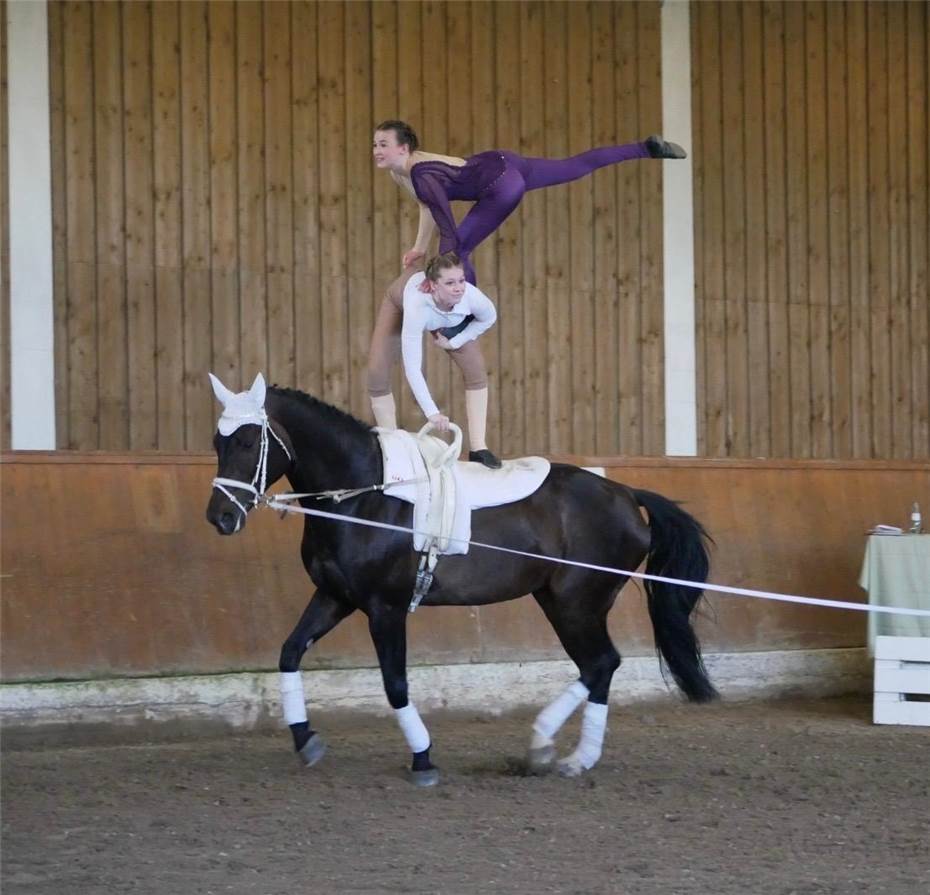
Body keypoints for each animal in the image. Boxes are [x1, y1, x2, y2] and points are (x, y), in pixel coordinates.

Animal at [203, 376, 716, 784]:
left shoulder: (385, 608)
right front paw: (305, 738)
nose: (220, 517)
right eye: (216, 443)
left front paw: (423, 759)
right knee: (599, 667)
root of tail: (626, 494)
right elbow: (290, 653)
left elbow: (395, 683)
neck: (364, 495)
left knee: (601, 663)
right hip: (558, 600)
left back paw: (559, 752)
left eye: (247, 443)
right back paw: (557, 753)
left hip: (577, 603)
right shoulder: (335, 597)